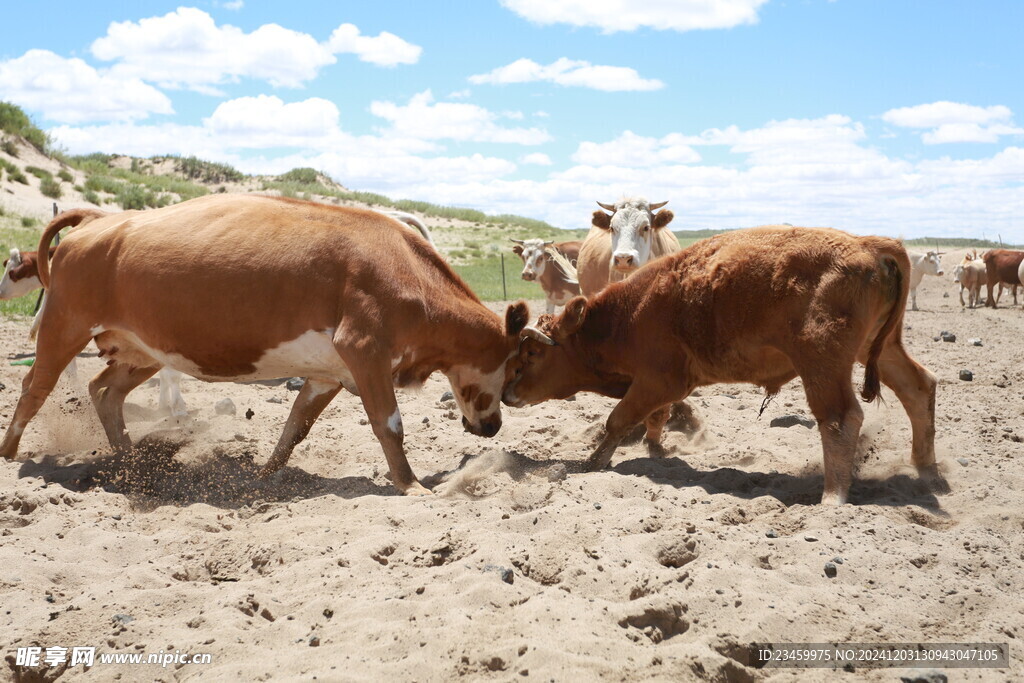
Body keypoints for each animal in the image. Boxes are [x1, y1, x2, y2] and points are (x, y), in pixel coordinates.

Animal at [0, 194, 528, 493]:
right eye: (513, 368)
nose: (494, 426)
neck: (406, 273)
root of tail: (95, 223)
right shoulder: (366, 352)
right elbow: (390, 425)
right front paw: (411, 485)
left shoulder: (329, 373)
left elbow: (295, 427)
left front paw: (262, 476)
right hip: (63, 328)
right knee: (34, 388)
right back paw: (9, 454)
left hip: (143, 351)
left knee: (105, 391)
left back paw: (131, 461)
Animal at [499, 227, 937, 505]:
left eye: (533, 354)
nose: (506, 393)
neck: (628, 315)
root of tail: (870, 245)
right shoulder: (657, 387)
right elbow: (654, 419)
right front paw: (656, 449)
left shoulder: (660, 380)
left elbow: (619, 420)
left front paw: (591, 463)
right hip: (880, 348)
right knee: (919, 387)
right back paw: (927, 470)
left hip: (822, 362)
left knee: (840, 418)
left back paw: (833, 497)